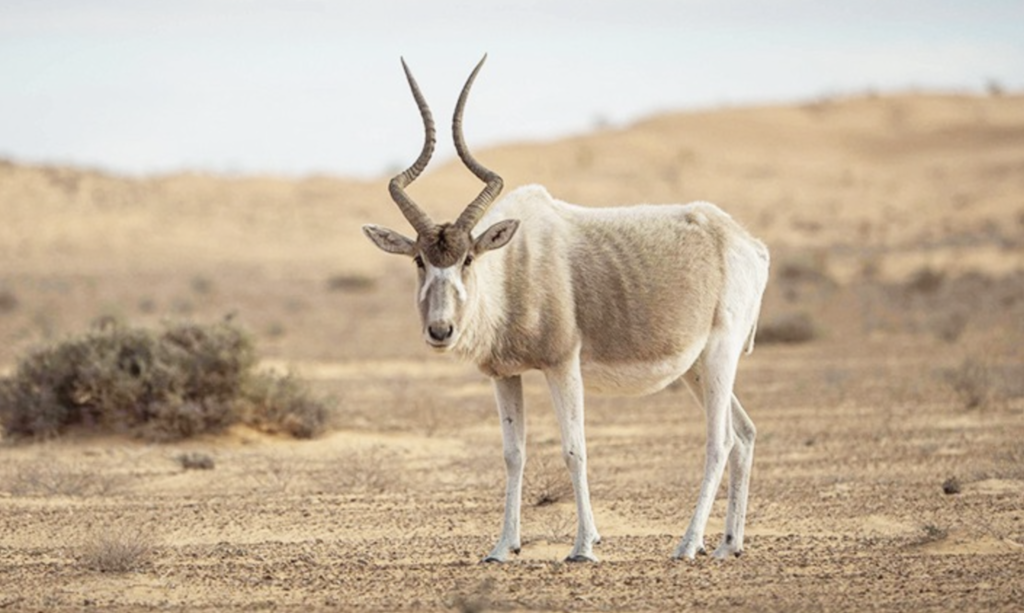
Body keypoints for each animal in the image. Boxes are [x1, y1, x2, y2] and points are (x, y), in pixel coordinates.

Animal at [362, 56, 770, 560]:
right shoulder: (505, 375)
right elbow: (513, 454)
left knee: (721, 439)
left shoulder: (563, 365)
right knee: (745, 433)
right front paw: (503, 547)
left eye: (468, 258)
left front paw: (583, 546)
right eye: (420, 259)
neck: (513, 267)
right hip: (696, 368)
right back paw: (728, 545)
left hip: (720, 355)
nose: (441, 331)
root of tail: (746, 243)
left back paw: (689, 544)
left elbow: (574, 450)